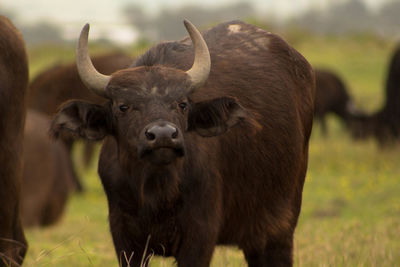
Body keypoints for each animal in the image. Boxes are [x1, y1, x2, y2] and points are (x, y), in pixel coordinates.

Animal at [51, 19, 316, 266]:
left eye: (182, 104)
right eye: (123, 107)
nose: (163, 135)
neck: (158, 191)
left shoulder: (200, 234)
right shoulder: (124, 236)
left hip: (279, 225)